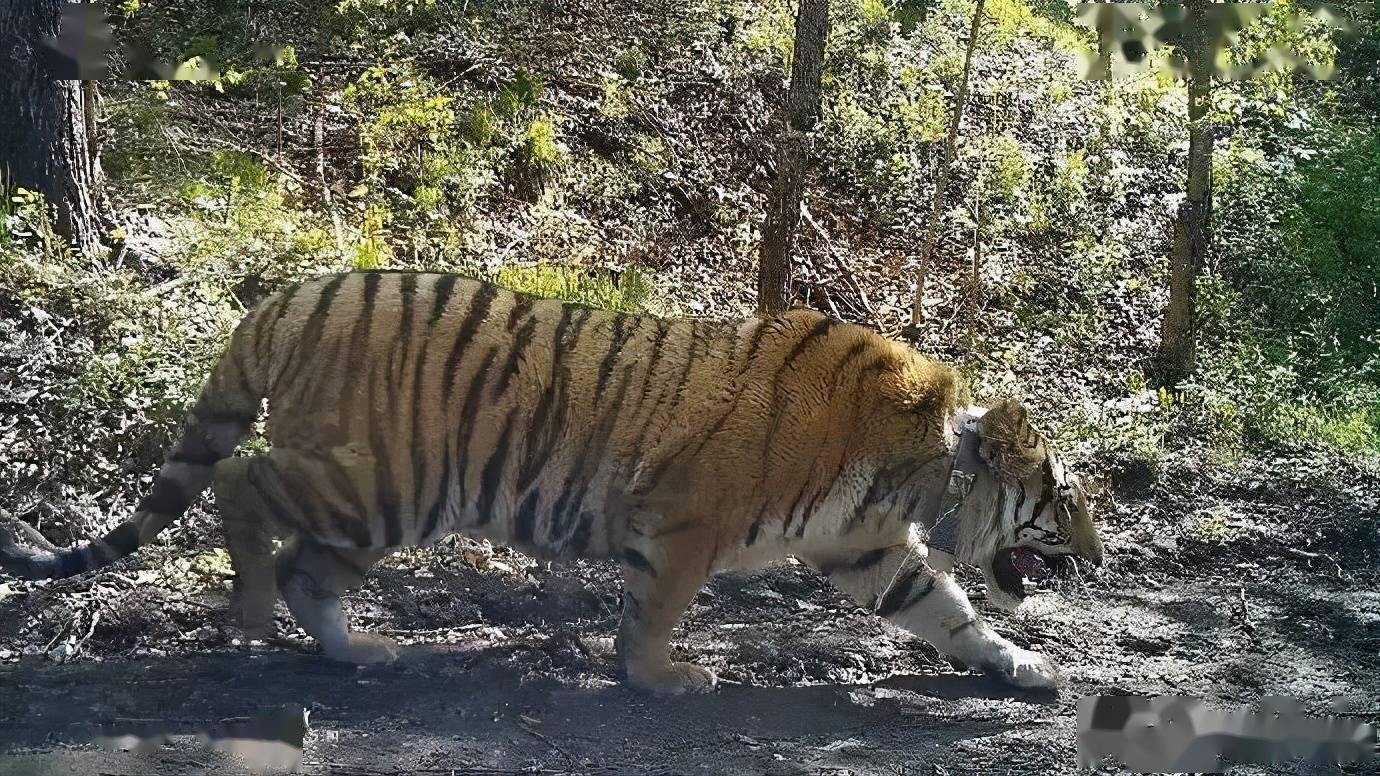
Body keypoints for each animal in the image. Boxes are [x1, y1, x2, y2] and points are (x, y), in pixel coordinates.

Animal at [0, 270, 1098, 687]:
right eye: (1067, 500)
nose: (1096, 555)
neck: (920, 476)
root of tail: (291, 295)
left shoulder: (867, 550)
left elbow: (949, 611)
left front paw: (1023, 665)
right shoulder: (691, 522)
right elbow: (660, 607)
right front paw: (660, 676)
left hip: (381, 506)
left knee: (311, 563)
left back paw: (359, 650)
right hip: (372, 480)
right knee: (240, 483)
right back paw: (254, 615)